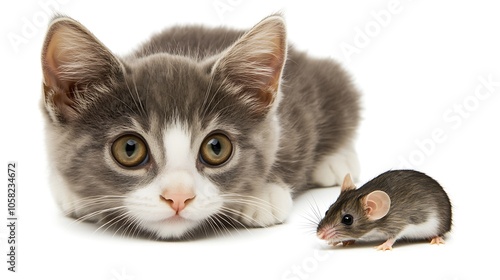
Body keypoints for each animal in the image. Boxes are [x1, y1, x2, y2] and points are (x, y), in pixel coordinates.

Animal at [39, 14, 360, 240]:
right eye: (129, 149)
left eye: (216, 148)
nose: (178, 197)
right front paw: (74, 193)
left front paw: (261, 195)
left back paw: (336, 161)